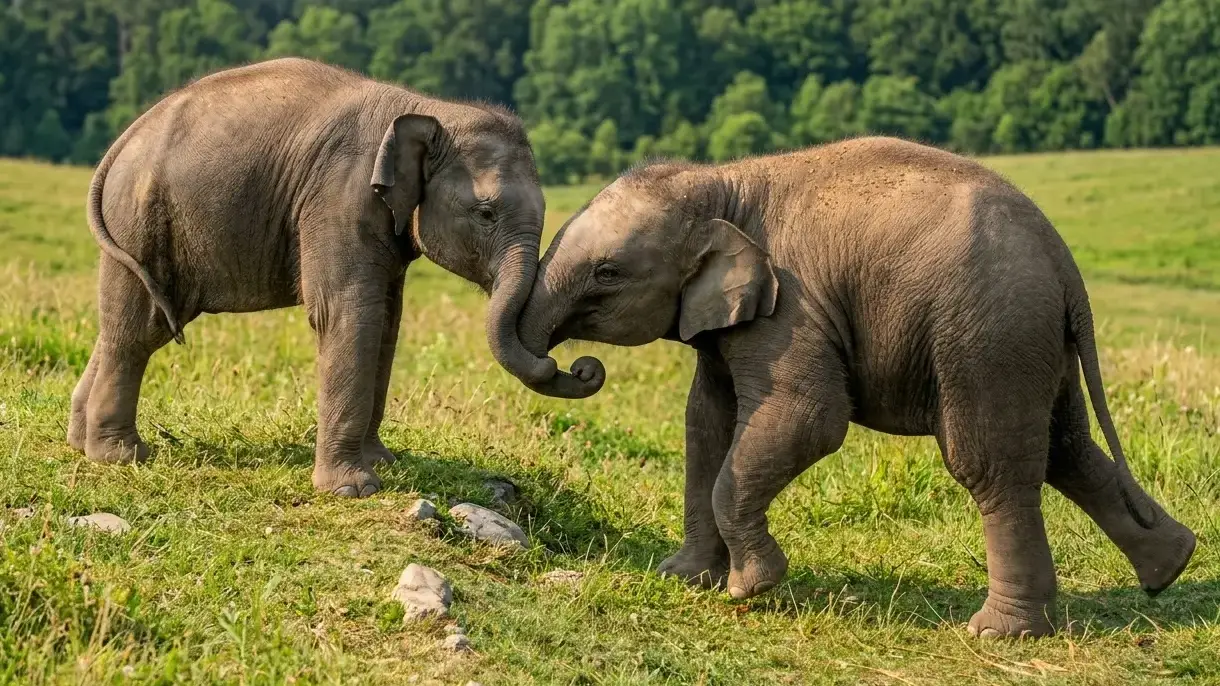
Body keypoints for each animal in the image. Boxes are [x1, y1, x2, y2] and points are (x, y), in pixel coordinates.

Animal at [67, 57, 581, 497]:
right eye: (486, 213)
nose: (573, 367)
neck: (430, 108)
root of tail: (124, 139)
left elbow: (387, 320)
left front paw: (383, 462)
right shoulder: (339, 196)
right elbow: (348, 312)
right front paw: (354, 489)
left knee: (137, 325)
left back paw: (80, 441)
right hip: (139, 219)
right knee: (136, 329)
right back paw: (119, 455)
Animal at [506, 136, 1196, 638]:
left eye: (607, 272)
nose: (581, 368)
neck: (722, 180)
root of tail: (1063, 260)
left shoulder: (790, 308)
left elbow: (810, 417)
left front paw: (751, 587)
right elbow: (705, 422)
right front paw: (685, 578)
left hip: (990, 334)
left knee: (989, 464)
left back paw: (999, 633)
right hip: (1033, 342)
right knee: (1065, 447)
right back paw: (1170, 567)